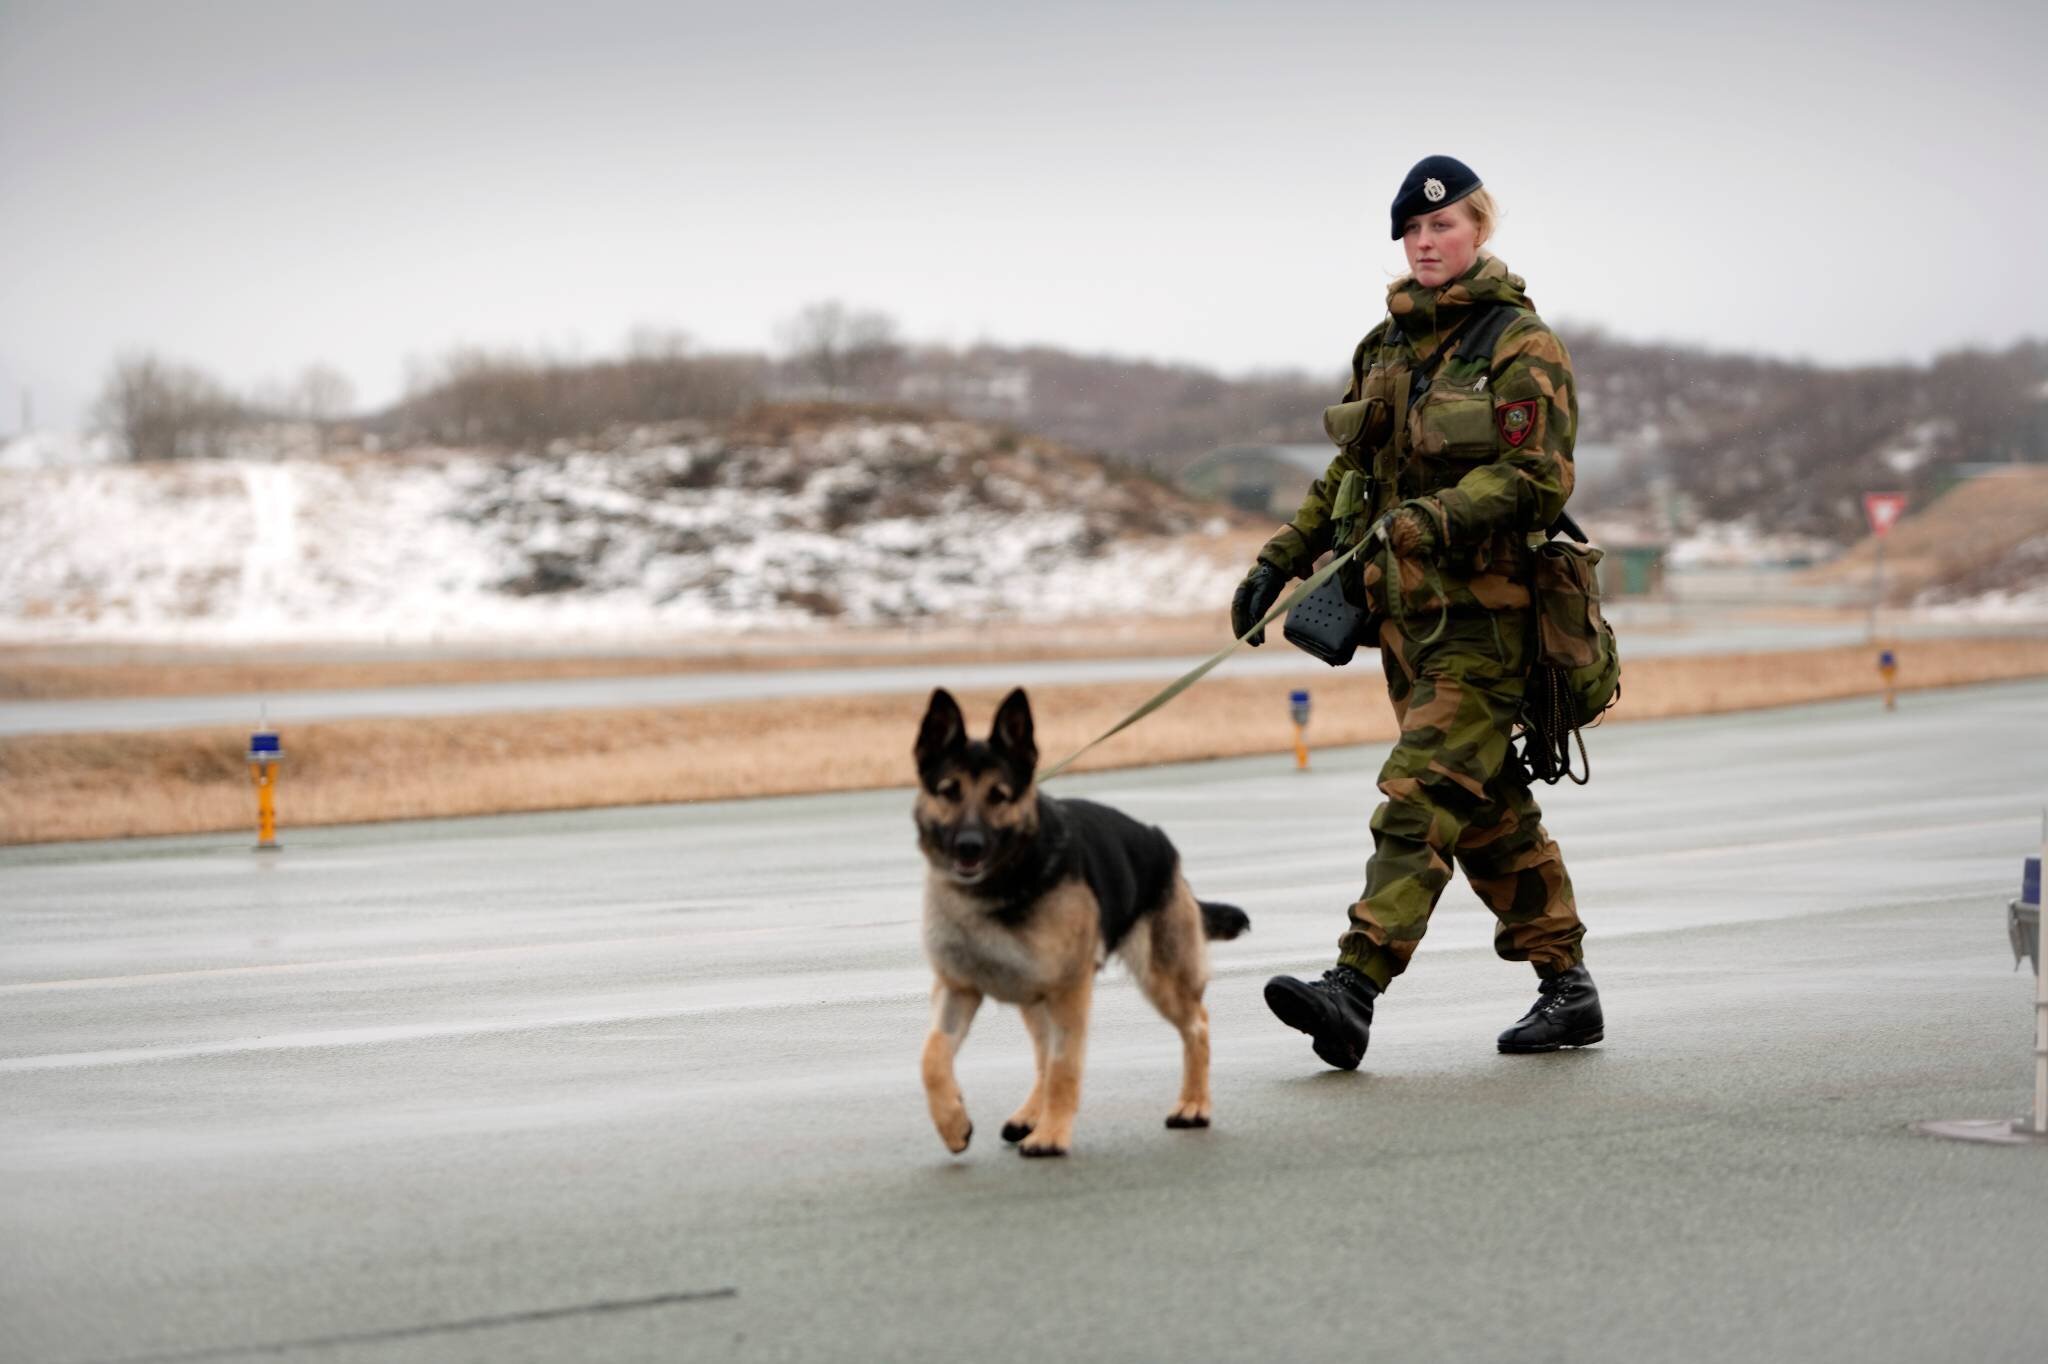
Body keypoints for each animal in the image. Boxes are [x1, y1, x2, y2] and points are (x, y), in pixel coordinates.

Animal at [917, 684, 1245, 1155]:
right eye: (948, 791)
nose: (969, 846)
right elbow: (931, 1058)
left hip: (1159, 979)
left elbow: (1065, 1068)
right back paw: (1029, 1116)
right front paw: (952, 1123)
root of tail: (1160, 840)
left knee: (1197, 1025)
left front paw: (1052, 1136)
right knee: (1041, 1055)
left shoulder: (1070, 991)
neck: (998, 891)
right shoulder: (957, 990)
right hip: (1037, 997)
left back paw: (1193, 1105)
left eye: (999, 795)